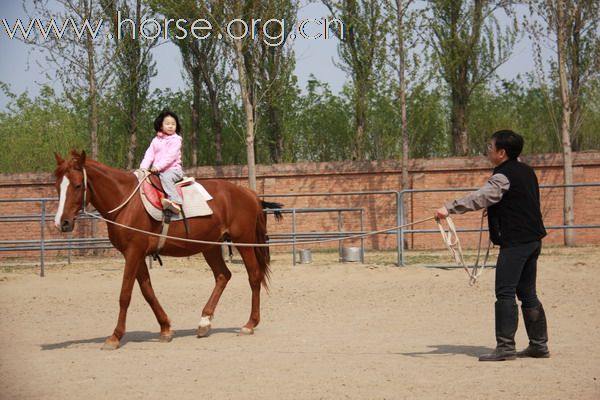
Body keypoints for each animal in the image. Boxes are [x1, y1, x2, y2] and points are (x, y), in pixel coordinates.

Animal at [52, 151, 282, 350]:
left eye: (77, 185)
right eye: (57, 186)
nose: (62, 223)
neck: (126, 201)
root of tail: (249, 193)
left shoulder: (133, 253)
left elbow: (125, 294)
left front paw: (115, 337)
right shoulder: (137, 255)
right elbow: (147, 292)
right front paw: (165, 328)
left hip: (245, 242)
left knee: (254, 276)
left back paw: (250, 324)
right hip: (210, 246)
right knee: (223, 276)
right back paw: (204, 322)